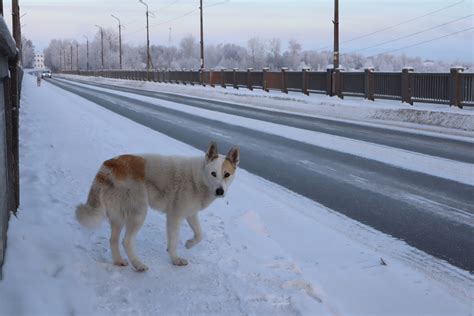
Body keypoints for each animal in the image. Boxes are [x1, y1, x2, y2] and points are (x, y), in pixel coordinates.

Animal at [78, 142, 243, 270]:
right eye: (213, 173)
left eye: (227, 174)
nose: (220, 191)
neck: (198, 178)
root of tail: (111, 164)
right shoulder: (174, 217)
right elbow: (174, 241)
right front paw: (175, 259)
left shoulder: (191, 214)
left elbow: (200, 234)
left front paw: (189, 244)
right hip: (139, 213)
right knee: (126, 241)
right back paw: (138, 264)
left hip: (119, 215)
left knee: (113, 240)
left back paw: (119, 261)